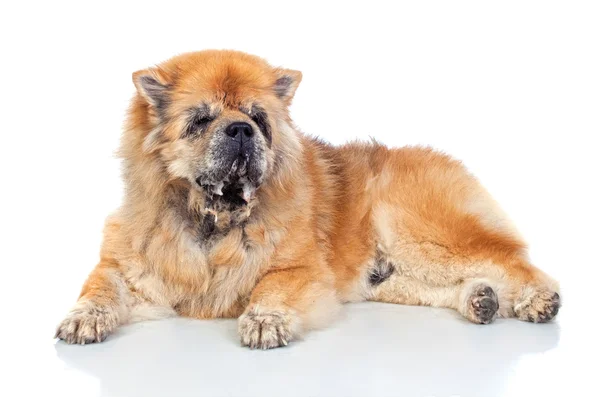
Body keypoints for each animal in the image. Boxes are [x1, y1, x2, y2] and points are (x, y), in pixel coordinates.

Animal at [54, 48, 560, 346]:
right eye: (201, 119)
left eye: (259, 118)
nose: (240, 129)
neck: (214, 223)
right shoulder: (127, 263)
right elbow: (100, 287)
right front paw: (83, 318)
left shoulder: (299, 269)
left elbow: (272, 287)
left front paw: (264, 321)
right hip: (395, 278)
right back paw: (481, 301)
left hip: (424, 238)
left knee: (512, 261)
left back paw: (538, 300)